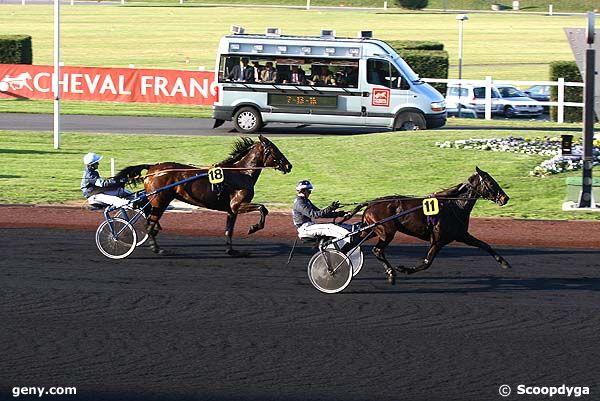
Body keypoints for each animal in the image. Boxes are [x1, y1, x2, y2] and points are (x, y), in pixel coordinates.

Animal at [115, 134, 292, 253]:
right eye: (275, 150)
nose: (289, 165)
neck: (241, 173)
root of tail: (153, 168)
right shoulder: (238, 204)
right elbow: (263, 208)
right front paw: (253, 228)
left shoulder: (231, 210)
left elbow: (229, 230)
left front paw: (231, 250)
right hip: (160, 201)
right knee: (149, 224)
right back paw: (156, 248)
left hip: (158, 201)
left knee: (149, 218)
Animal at [342, 166, 510, 284]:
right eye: (490, 182)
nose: (505, 198)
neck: (455, 205)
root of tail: (371, 203)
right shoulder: (438, 240)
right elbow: (427, 262)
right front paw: (405, 269)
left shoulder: (462, 235)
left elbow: (484, 245)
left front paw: (504, 263)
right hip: (386, 231)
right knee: (377, 250)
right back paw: (390, 272)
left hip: (371, 230)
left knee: (351, 244)